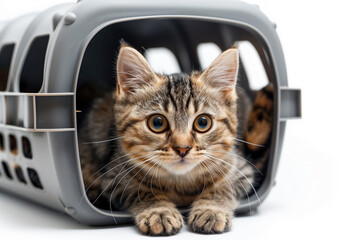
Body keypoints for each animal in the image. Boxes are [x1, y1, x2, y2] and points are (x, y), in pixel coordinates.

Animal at [80, 44, 262, 234]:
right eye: (157, 123)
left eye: (203, 122)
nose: (183, 148)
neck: (180, 182)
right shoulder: (114, 179)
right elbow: (142, 191)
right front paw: (159, 212)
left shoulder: (241, 170)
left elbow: (222, 188)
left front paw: (210, 210)